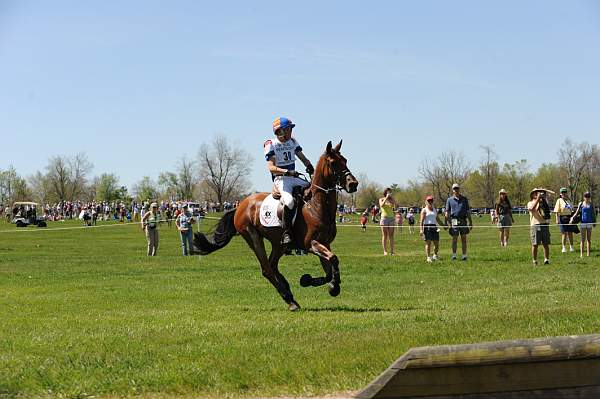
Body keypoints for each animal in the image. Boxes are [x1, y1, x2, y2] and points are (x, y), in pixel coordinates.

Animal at [195, 141, 358, 312]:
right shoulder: (311, 244)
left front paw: (319, 283)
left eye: (345, 160)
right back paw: (289, 298)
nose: (353, 184)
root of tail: (240, 205)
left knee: (273, 265)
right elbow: (333, 259)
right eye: (333, 163)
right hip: (253, 237)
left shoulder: (325, 243)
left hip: (278, 244)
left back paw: (288, 290)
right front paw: (331, 286)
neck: (316, 206)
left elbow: (329, 269)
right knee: (267, 269)